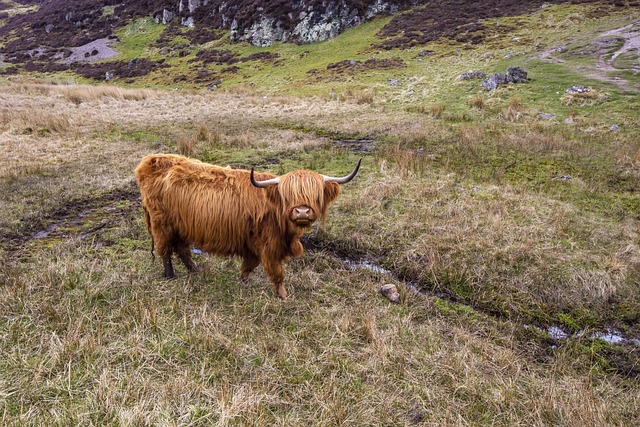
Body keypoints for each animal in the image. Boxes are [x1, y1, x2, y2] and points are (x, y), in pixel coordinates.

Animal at [134, 154, 360, 298]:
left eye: (316, 195)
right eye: (288, 196)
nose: (302, 212)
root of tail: (149, 161)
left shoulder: (254, 242)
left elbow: (249, 265)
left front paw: (242, 282)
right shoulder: (269, 244)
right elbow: (277, 271)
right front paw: (283, 295)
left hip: (181, 225)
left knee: (182, 248)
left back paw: (195, 270)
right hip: (161, 223)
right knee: (165, 249)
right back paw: (170, 275)